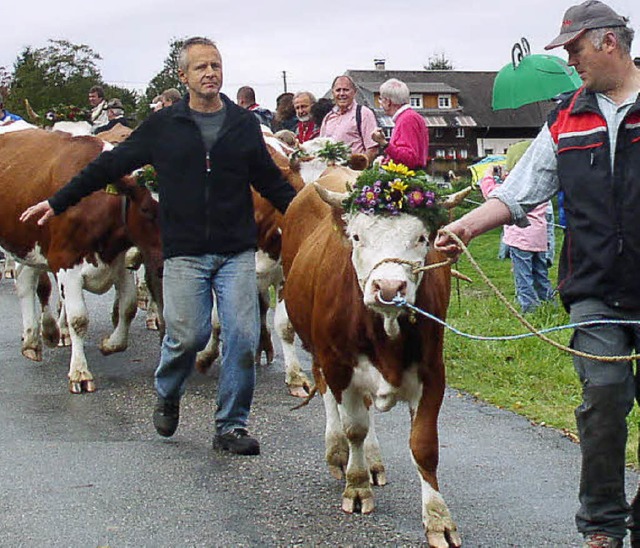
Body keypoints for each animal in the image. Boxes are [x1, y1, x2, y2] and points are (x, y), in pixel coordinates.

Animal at [0, 128, 162, 394]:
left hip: (28, 244)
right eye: (147, 209)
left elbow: (127, 307)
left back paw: (33, 340)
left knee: (25, 282)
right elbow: (78, 319)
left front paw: (111, 344)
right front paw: (79, 373)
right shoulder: (66, 265)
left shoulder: (119, 265)